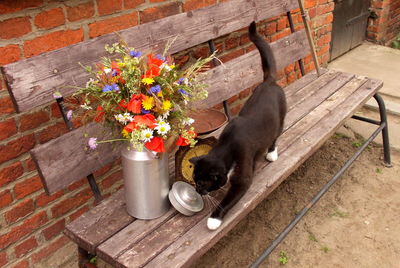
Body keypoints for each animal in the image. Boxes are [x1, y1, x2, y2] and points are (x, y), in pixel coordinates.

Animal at [189, 21, 286, 230]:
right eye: (194, 180)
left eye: (202, 183)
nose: (198, 191)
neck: (226, 147)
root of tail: (269, 81)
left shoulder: (243, 169)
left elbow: (232, 194)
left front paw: (214, 219)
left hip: (281, 117)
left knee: (276, 134)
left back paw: (272, 152)